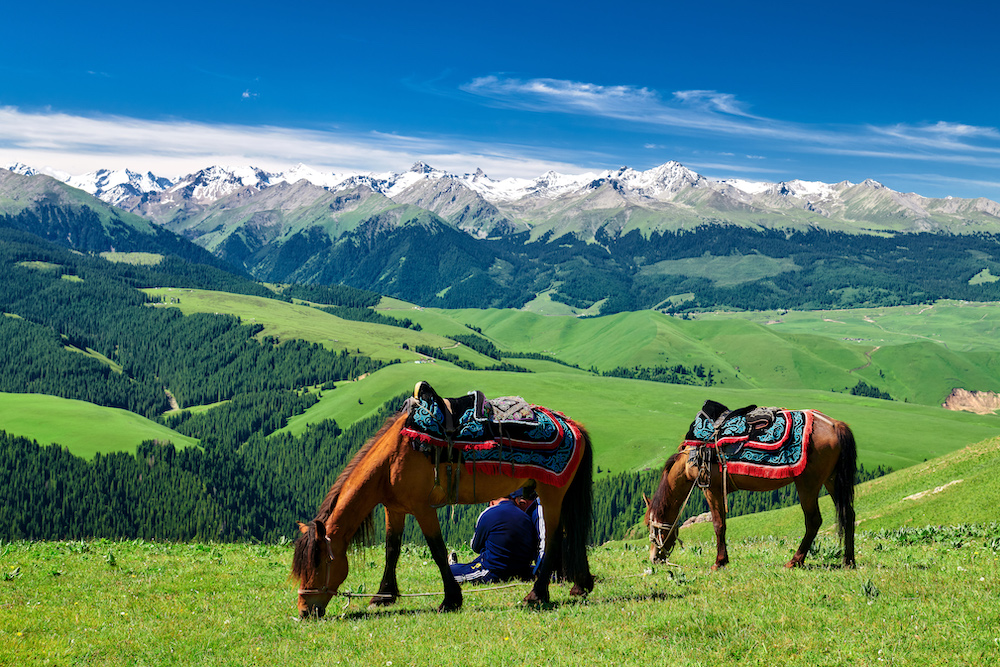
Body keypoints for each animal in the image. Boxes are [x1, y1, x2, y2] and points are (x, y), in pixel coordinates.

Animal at [292, 394, 596, 620]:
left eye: (318, 564)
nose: (305, 611)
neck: (392, 458)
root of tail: (573, 425)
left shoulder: (422, 508)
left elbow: (437, 550)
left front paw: (450, 600)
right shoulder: (395, 508)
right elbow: (392, 549)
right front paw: (384, 595)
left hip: (551, 494)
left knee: (554, 540)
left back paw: (536, 595)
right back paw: (579, 586)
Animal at [644, 404, 856, 572]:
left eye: (649, 525)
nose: (654, 558)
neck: (690, 458)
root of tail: (834, 424)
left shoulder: (711, 489)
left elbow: (718, 525)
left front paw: (718, 562)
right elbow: (723, 523)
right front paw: (724, 560)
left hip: (808, 483)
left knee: (813, 520)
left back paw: (795, 561)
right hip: (831, 480)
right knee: (848, 513)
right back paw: (849, 561)